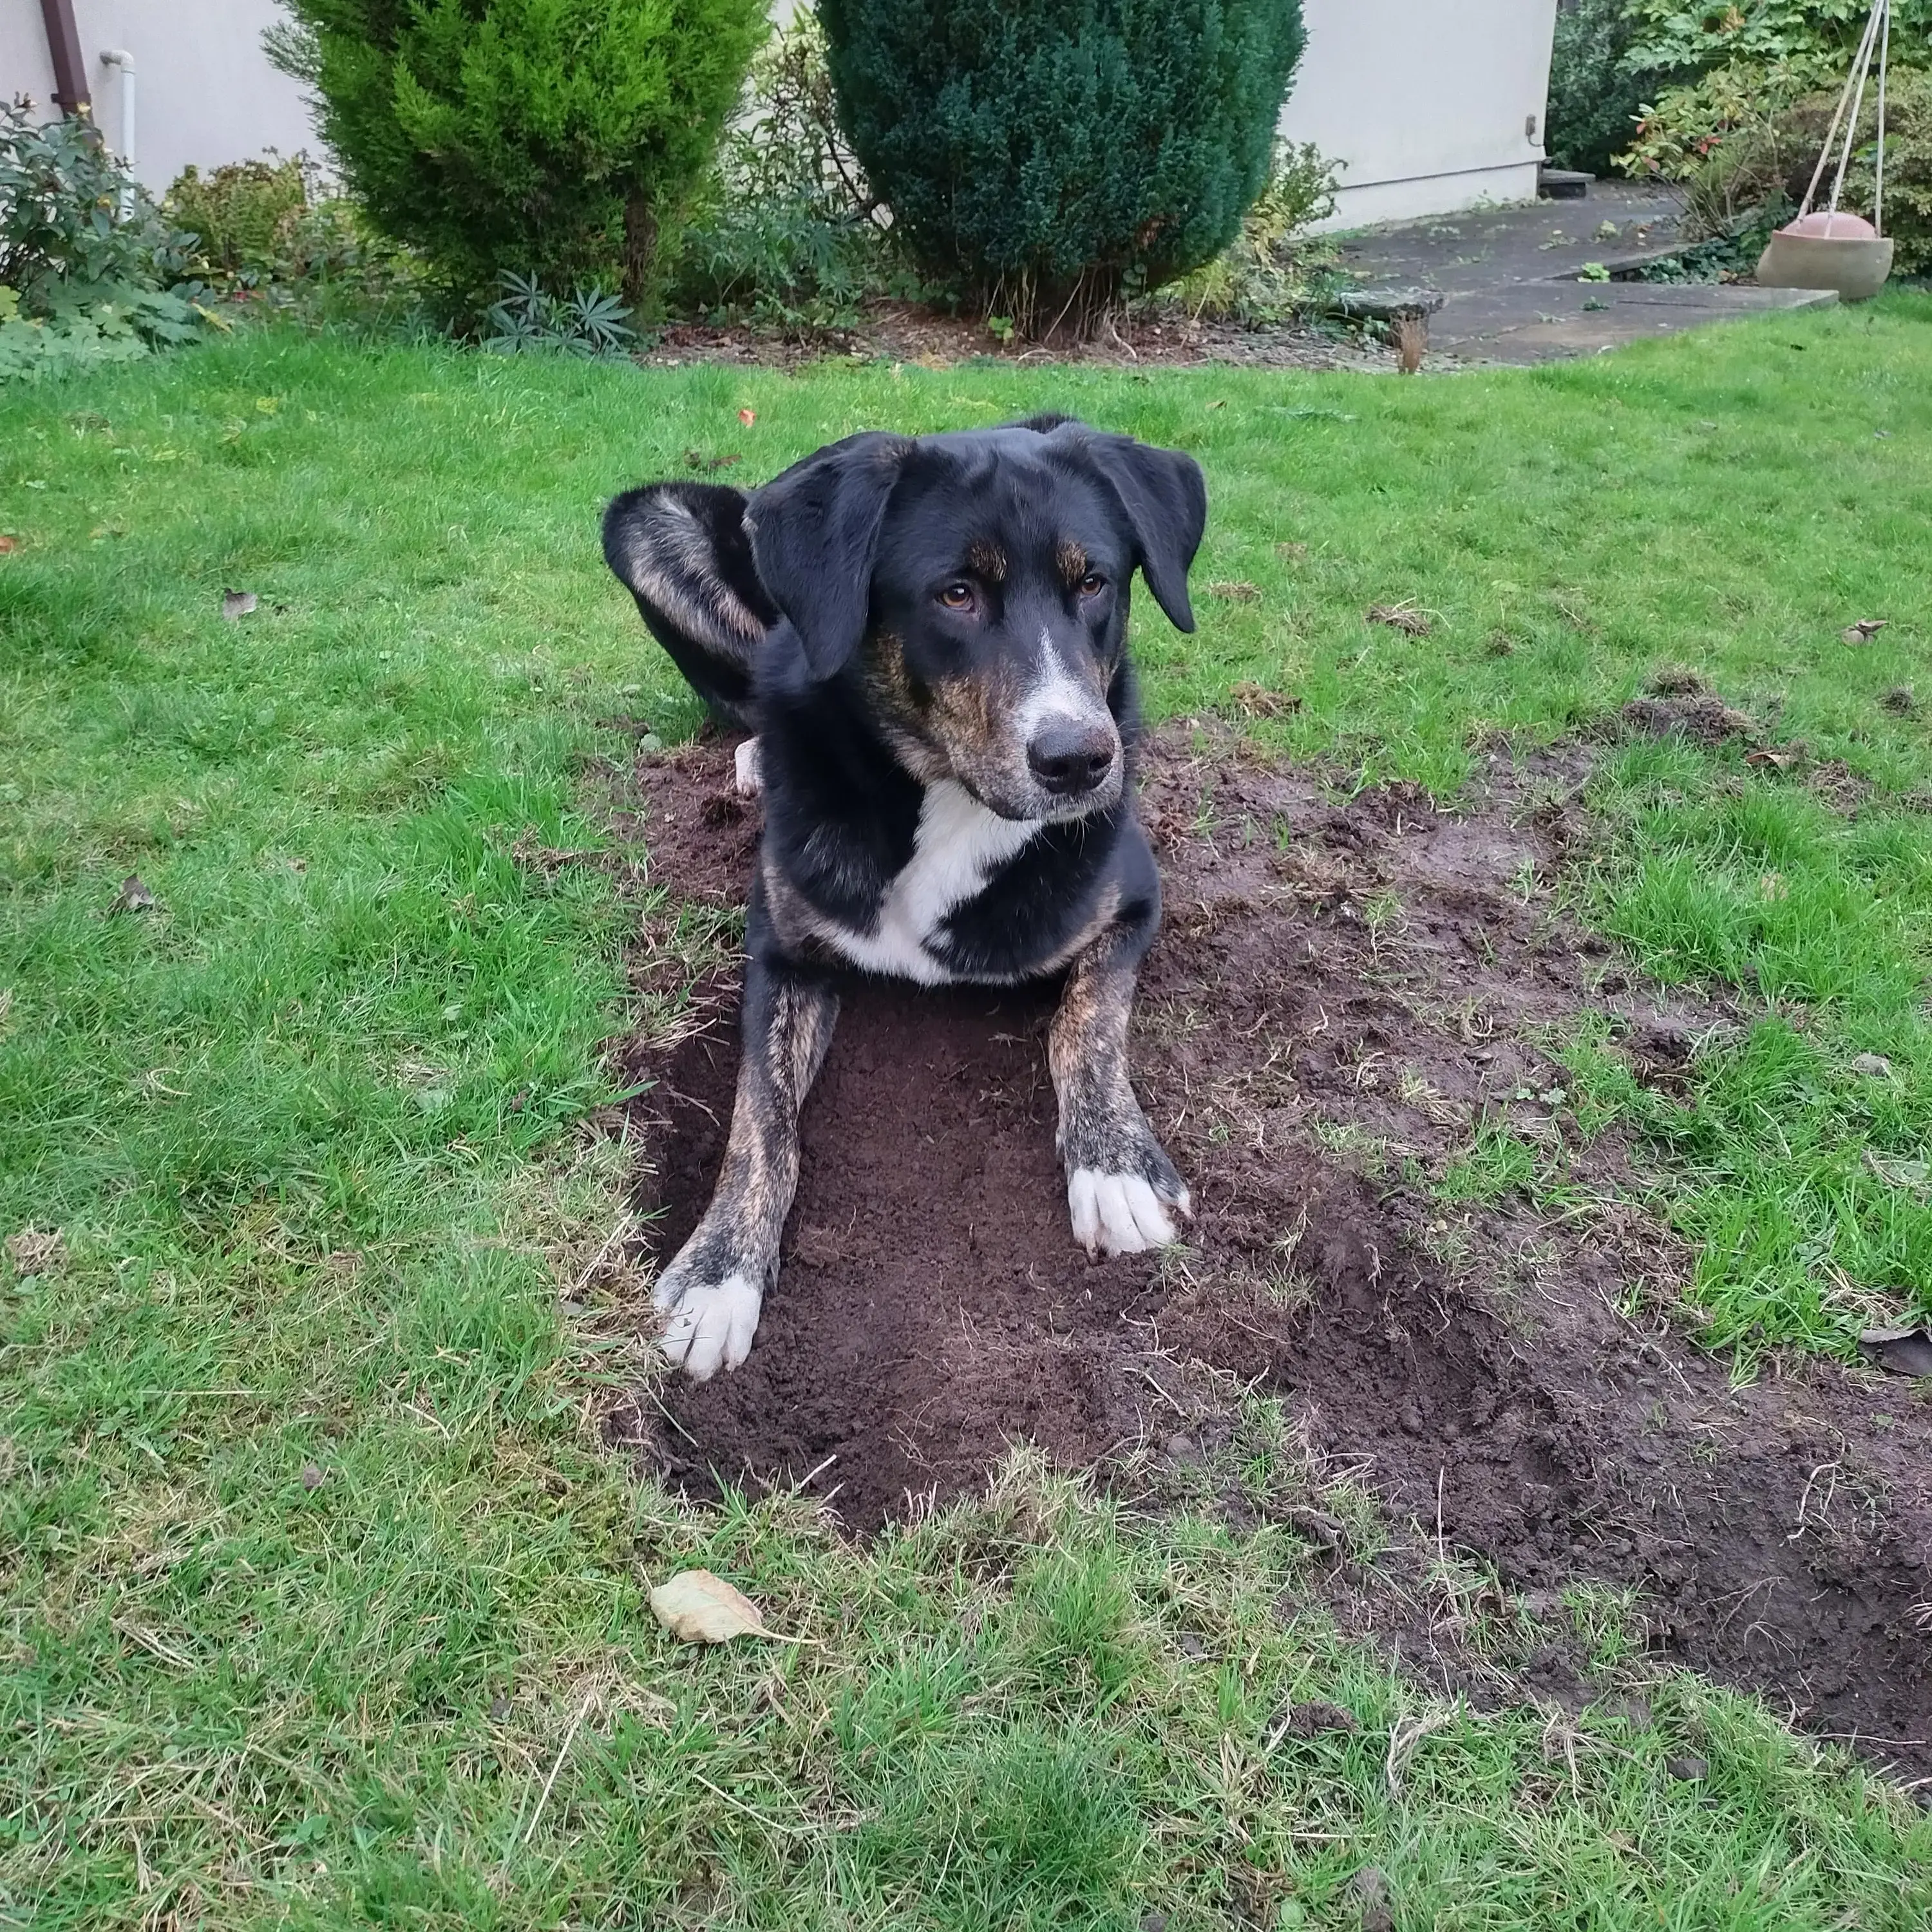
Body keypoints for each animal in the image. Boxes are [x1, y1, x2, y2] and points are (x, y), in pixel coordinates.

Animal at [603, 412, 1206, 1376]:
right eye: (955, 594)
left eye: (1094, 583)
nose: (1079, 760)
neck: (949, 795)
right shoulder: (780, 947)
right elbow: (759, 1116)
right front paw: (719, 1271)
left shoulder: (1132, 898)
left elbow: (1089, 1022)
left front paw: (1114, 1167)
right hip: (650, 524)